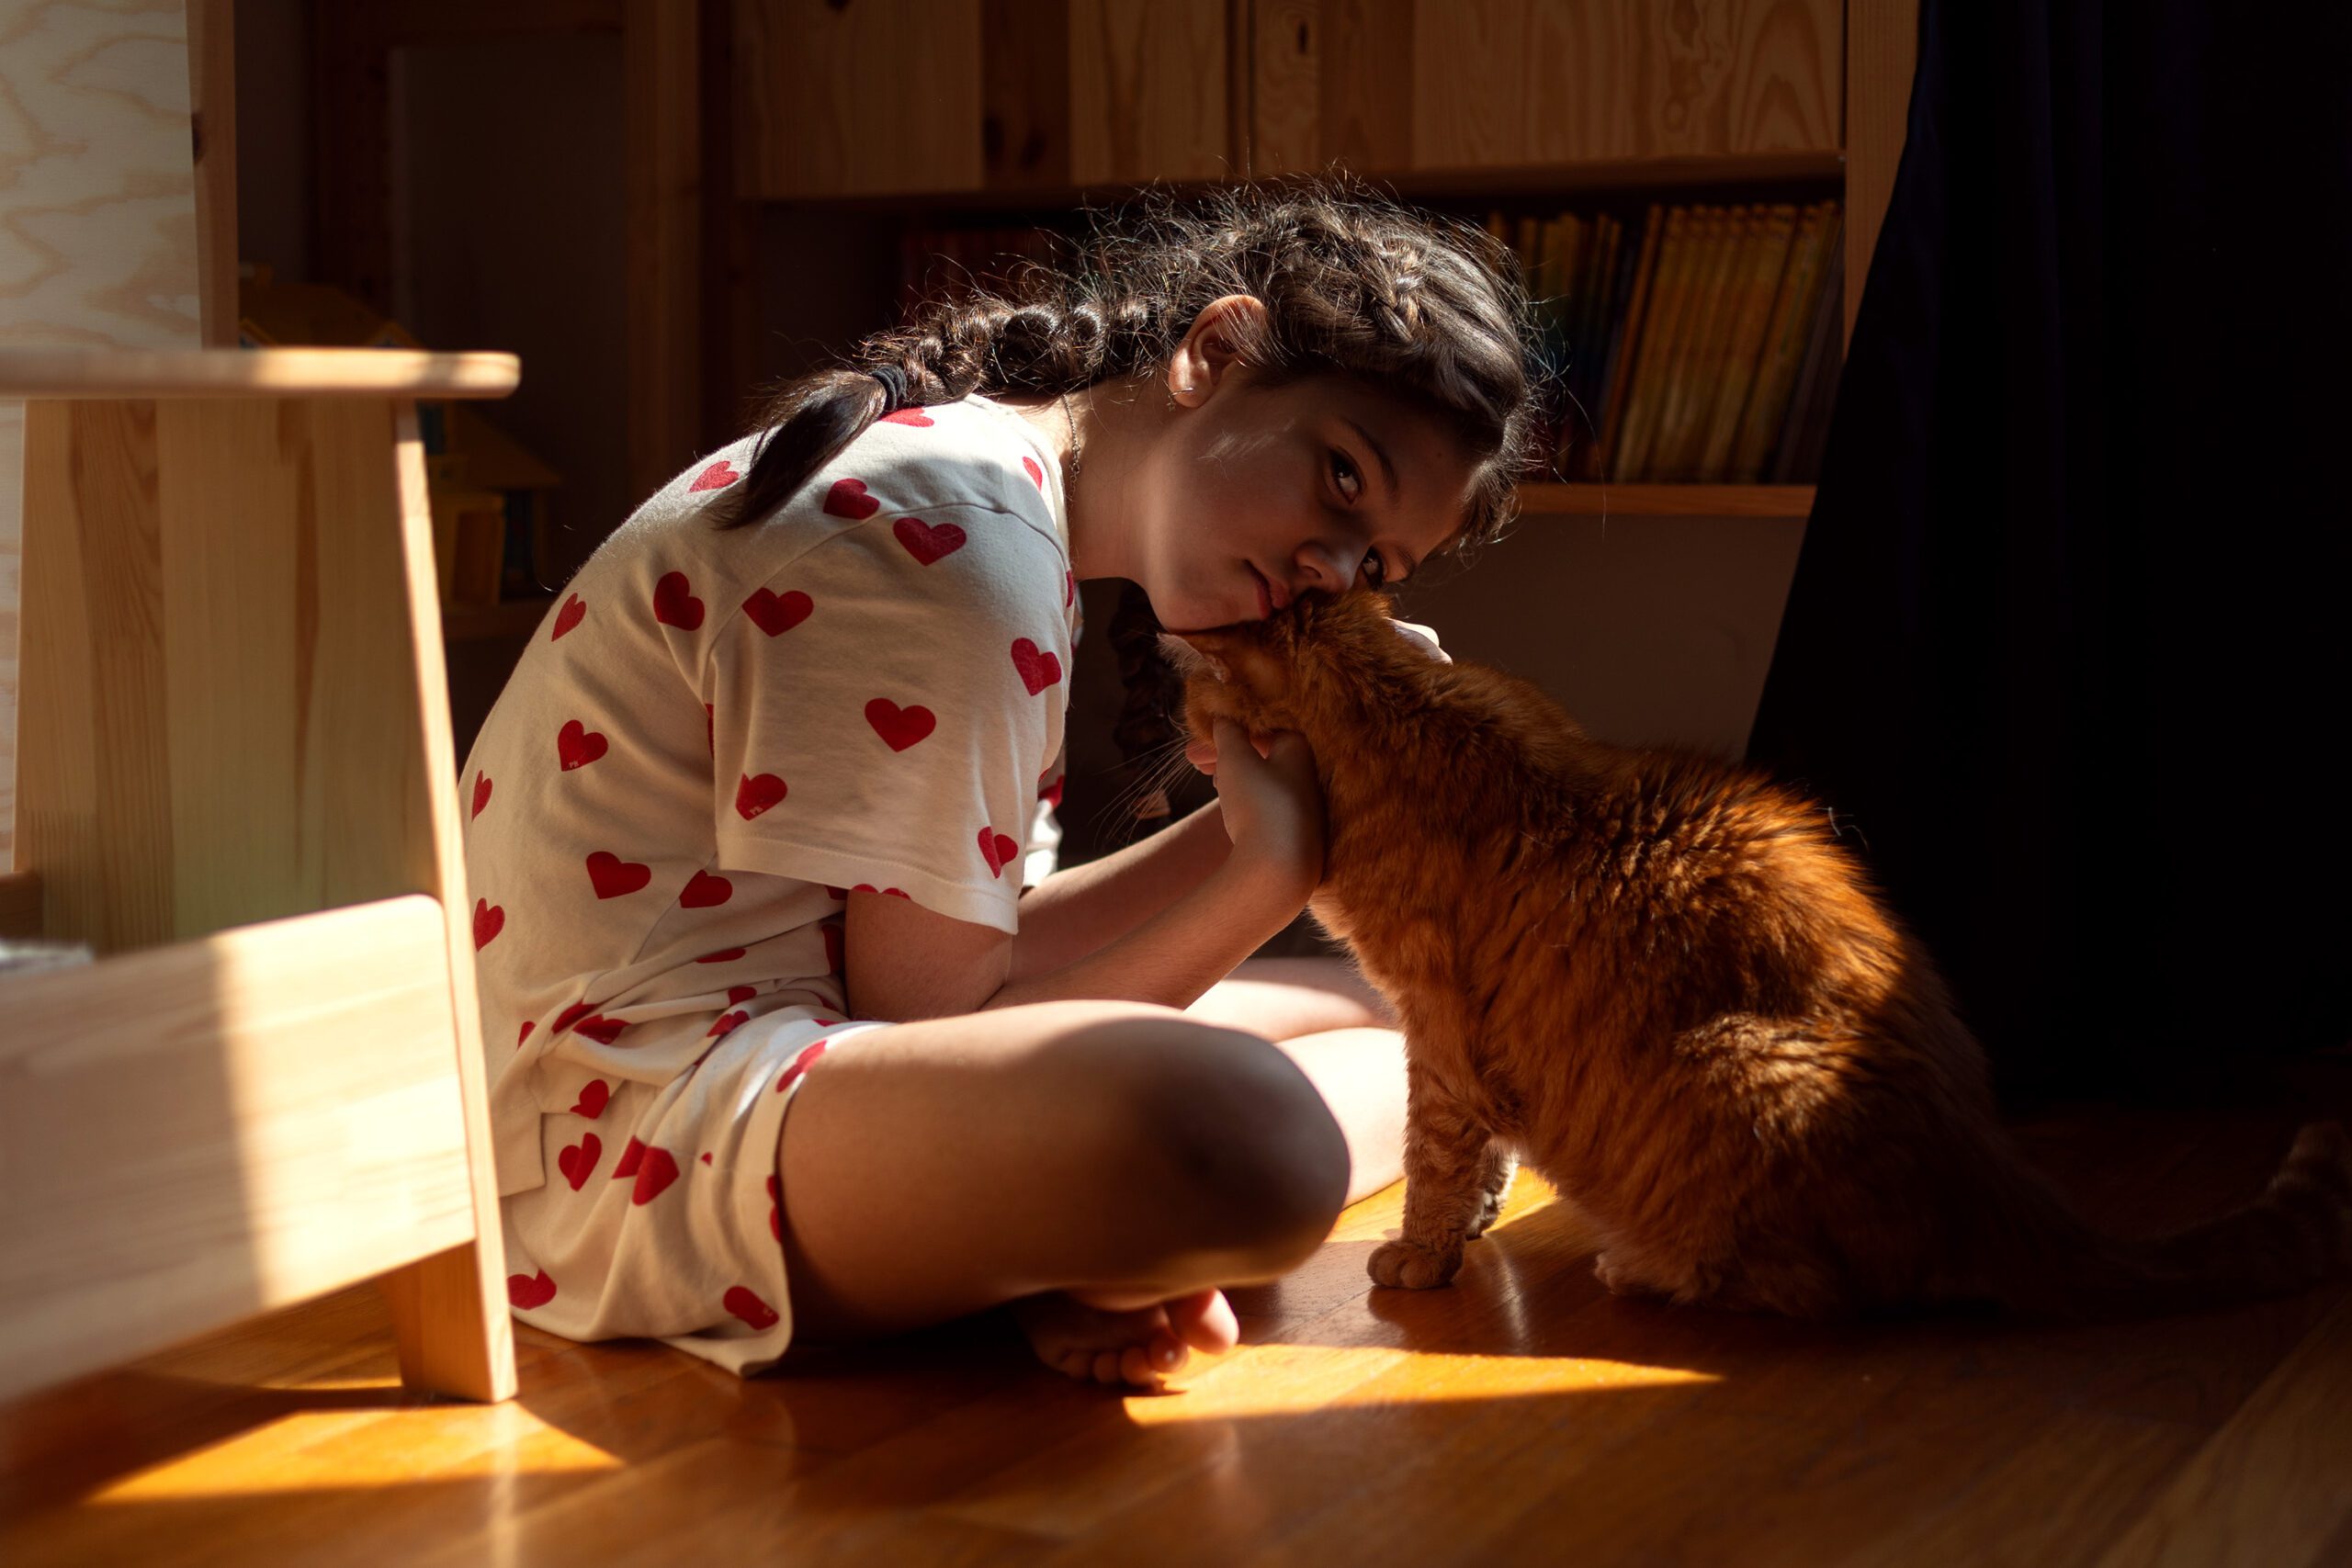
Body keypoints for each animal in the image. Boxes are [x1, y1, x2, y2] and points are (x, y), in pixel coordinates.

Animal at [1176, 594, 2352, 1316]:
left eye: (1191, 702)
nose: (1186, 751)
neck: (1401, 711)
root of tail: (1996, 1180)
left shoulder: (1438, 1028)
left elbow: (1436, 1159)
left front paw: (1423, 1257)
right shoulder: (1459, 1045)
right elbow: (1481, 1160)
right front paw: (1472, 1226)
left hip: (1735, 1064)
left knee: (1806, 1287)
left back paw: (1645, 1269)